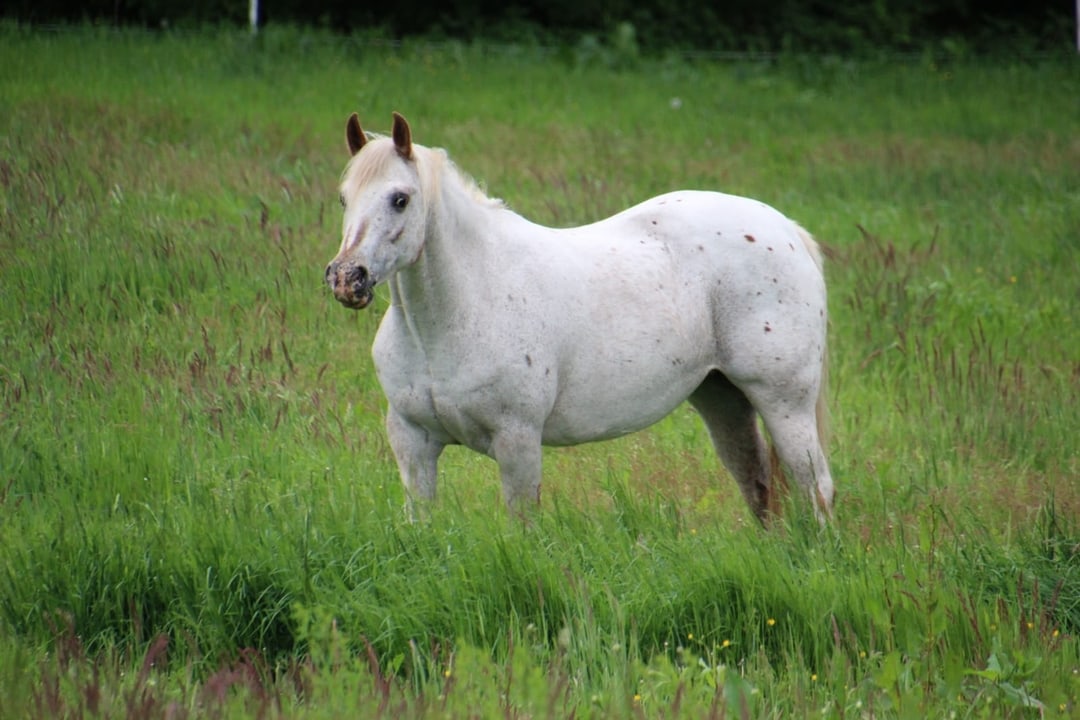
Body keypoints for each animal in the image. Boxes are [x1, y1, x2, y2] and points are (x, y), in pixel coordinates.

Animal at [326, 112, 833, 526]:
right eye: (343, 198)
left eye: (400, 199)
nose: (347, 278)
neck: (453, 317)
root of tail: (786, 229)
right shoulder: (412, 442)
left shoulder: (517, 442)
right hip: (721, 398)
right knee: (757, 483)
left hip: (784, 403)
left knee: (816, 488)